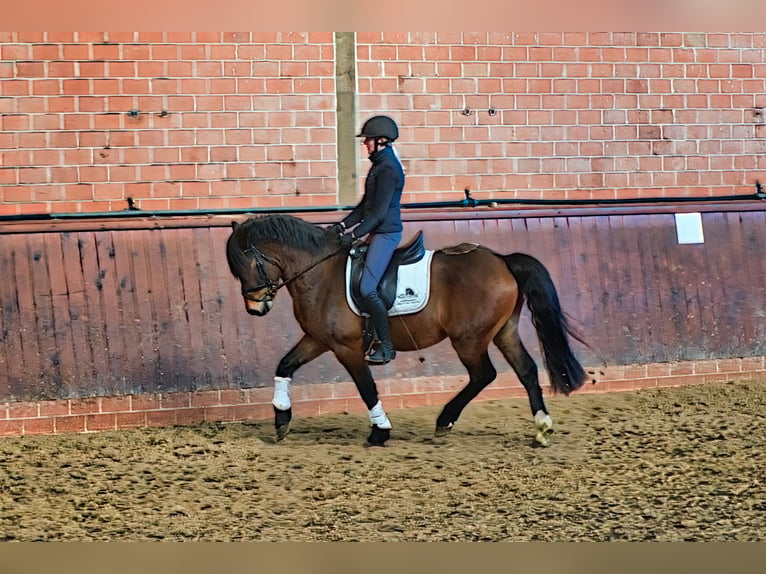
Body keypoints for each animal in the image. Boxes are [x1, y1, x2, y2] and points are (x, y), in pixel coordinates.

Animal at [225, 214, 592, 448]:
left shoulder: (346, 347)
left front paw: (380, 432)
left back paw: (445, 421)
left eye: (247, 264)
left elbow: (366, 388)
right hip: (503, 331)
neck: (320, 271)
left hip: (469, 339)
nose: (255, 308)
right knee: (526, 370)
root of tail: (503, 260)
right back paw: (541, 428)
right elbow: (285, 365)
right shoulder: (318, 339)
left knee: (483, 375)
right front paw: (281, 418)